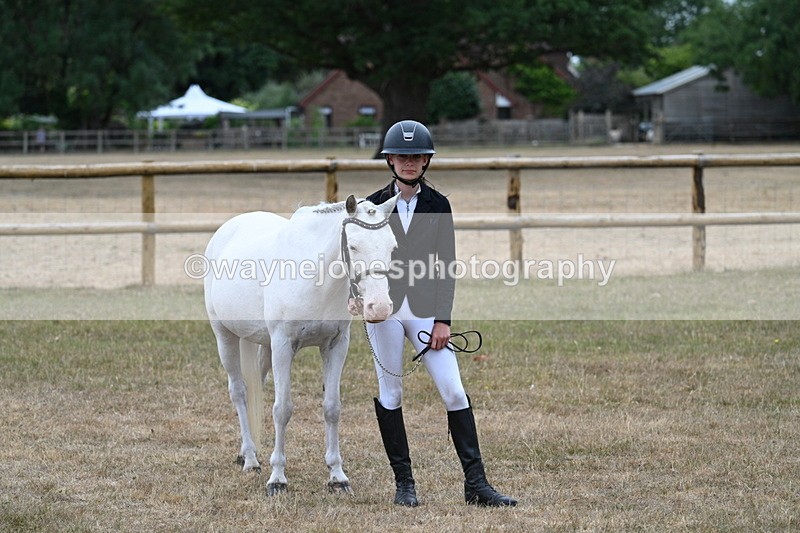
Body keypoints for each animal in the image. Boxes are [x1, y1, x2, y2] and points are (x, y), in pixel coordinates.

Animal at [203, 194, 399, 496]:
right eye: (353, 245)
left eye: (392, 246)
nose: (379, 307)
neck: (315, 278)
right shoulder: (283, 346)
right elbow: (282, 410)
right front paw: (277, 479)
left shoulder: (335, 345)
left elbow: (332, 407)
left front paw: (337, 476)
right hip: (225, 337)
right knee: (239, 392)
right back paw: (250, 458)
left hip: (264, 347)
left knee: (255, 387)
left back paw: (249, 452)